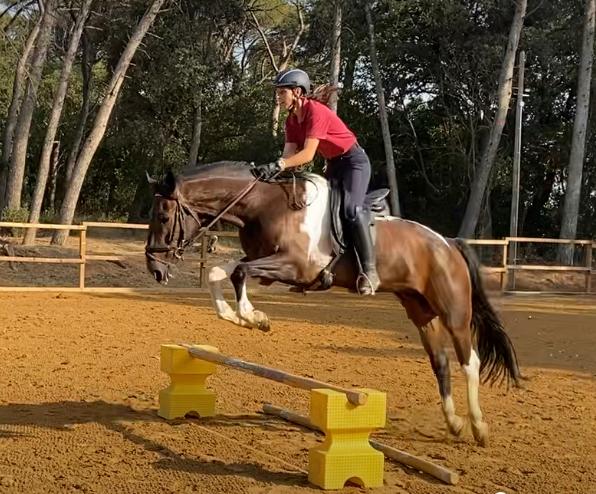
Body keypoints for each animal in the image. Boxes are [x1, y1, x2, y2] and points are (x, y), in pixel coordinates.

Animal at [146, 160, 520, 446]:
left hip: (454, 311)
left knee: (469, 361)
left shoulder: (294, 266)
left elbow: (238, 273)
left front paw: (254, 317)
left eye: (163, 217)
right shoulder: (265, 264)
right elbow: (218, 273)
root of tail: (448, 243)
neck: (263, 204)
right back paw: (454, 422)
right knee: (440, 362)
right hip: (420, 310)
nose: (154, 269)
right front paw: (241, 317)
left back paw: (478, 427)